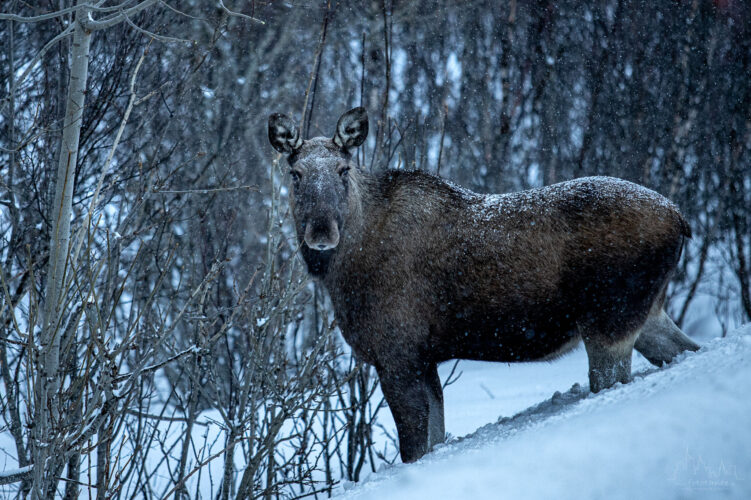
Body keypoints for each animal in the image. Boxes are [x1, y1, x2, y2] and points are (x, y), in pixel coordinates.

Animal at [268, 107, 700, 462]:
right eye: (295, 174)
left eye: (343, 171)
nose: (321, 231)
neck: (342, 274)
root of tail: (680, 218)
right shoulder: (423, 359)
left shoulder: (398, 353)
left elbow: (413, 448)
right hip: (647, 313)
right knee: (686, 350)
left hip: (609, 318)